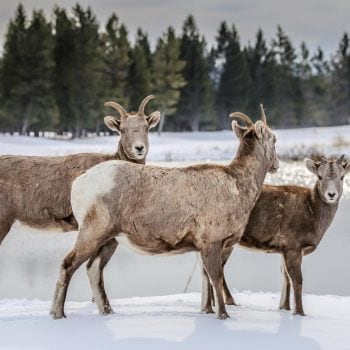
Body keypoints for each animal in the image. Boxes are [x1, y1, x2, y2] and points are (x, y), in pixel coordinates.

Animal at [49, 106, 278, 320]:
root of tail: (77, 185)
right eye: (275, 139)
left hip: (110, 239)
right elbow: (216, 279)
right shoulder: (213, 241)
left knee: (93, 268)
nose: (276, 165)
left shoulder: (204, 246)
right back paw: (58, 313)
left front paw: (207, 311)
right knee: (68, 264)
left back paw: (105, 311)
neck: (240, 188)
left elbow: (207, 283)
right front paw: (223, 315)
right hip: (93, 231)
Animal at [205, 154, 350, 316]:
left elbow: (285, 278)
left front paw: (284, 307)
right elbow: (297, 280)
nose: (331, 194)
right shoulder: (293, 246)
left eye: (342, 177)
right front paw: (299, 312)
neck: (313, 216)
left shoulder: (284, 249)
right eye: (320, 176)